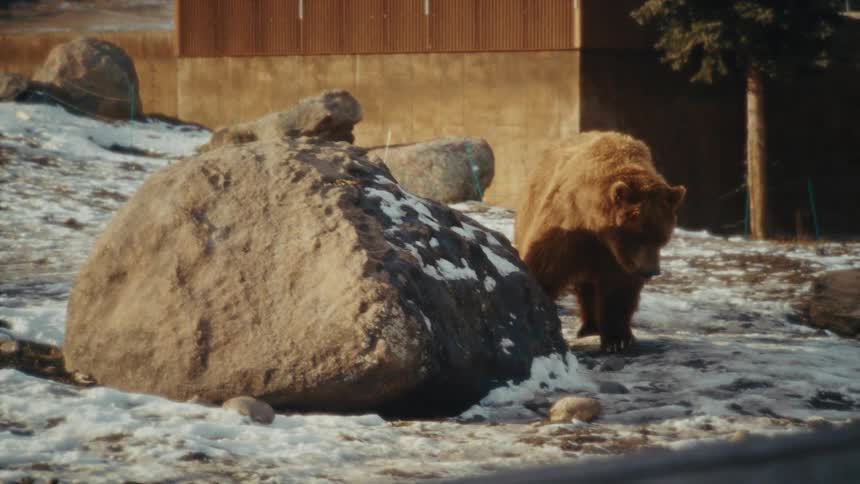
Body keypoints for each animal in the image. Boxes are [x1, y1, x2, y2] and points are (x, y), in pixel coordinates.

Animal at [514, 131, 686, 352]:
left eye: (662, 238)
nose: (651, 271)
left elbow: (618, 290)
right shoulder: (568, 226)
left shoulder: (617, 258)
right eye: (640, 236)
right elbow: (545, 267)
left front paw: (618, 340)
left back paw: (591, 326)